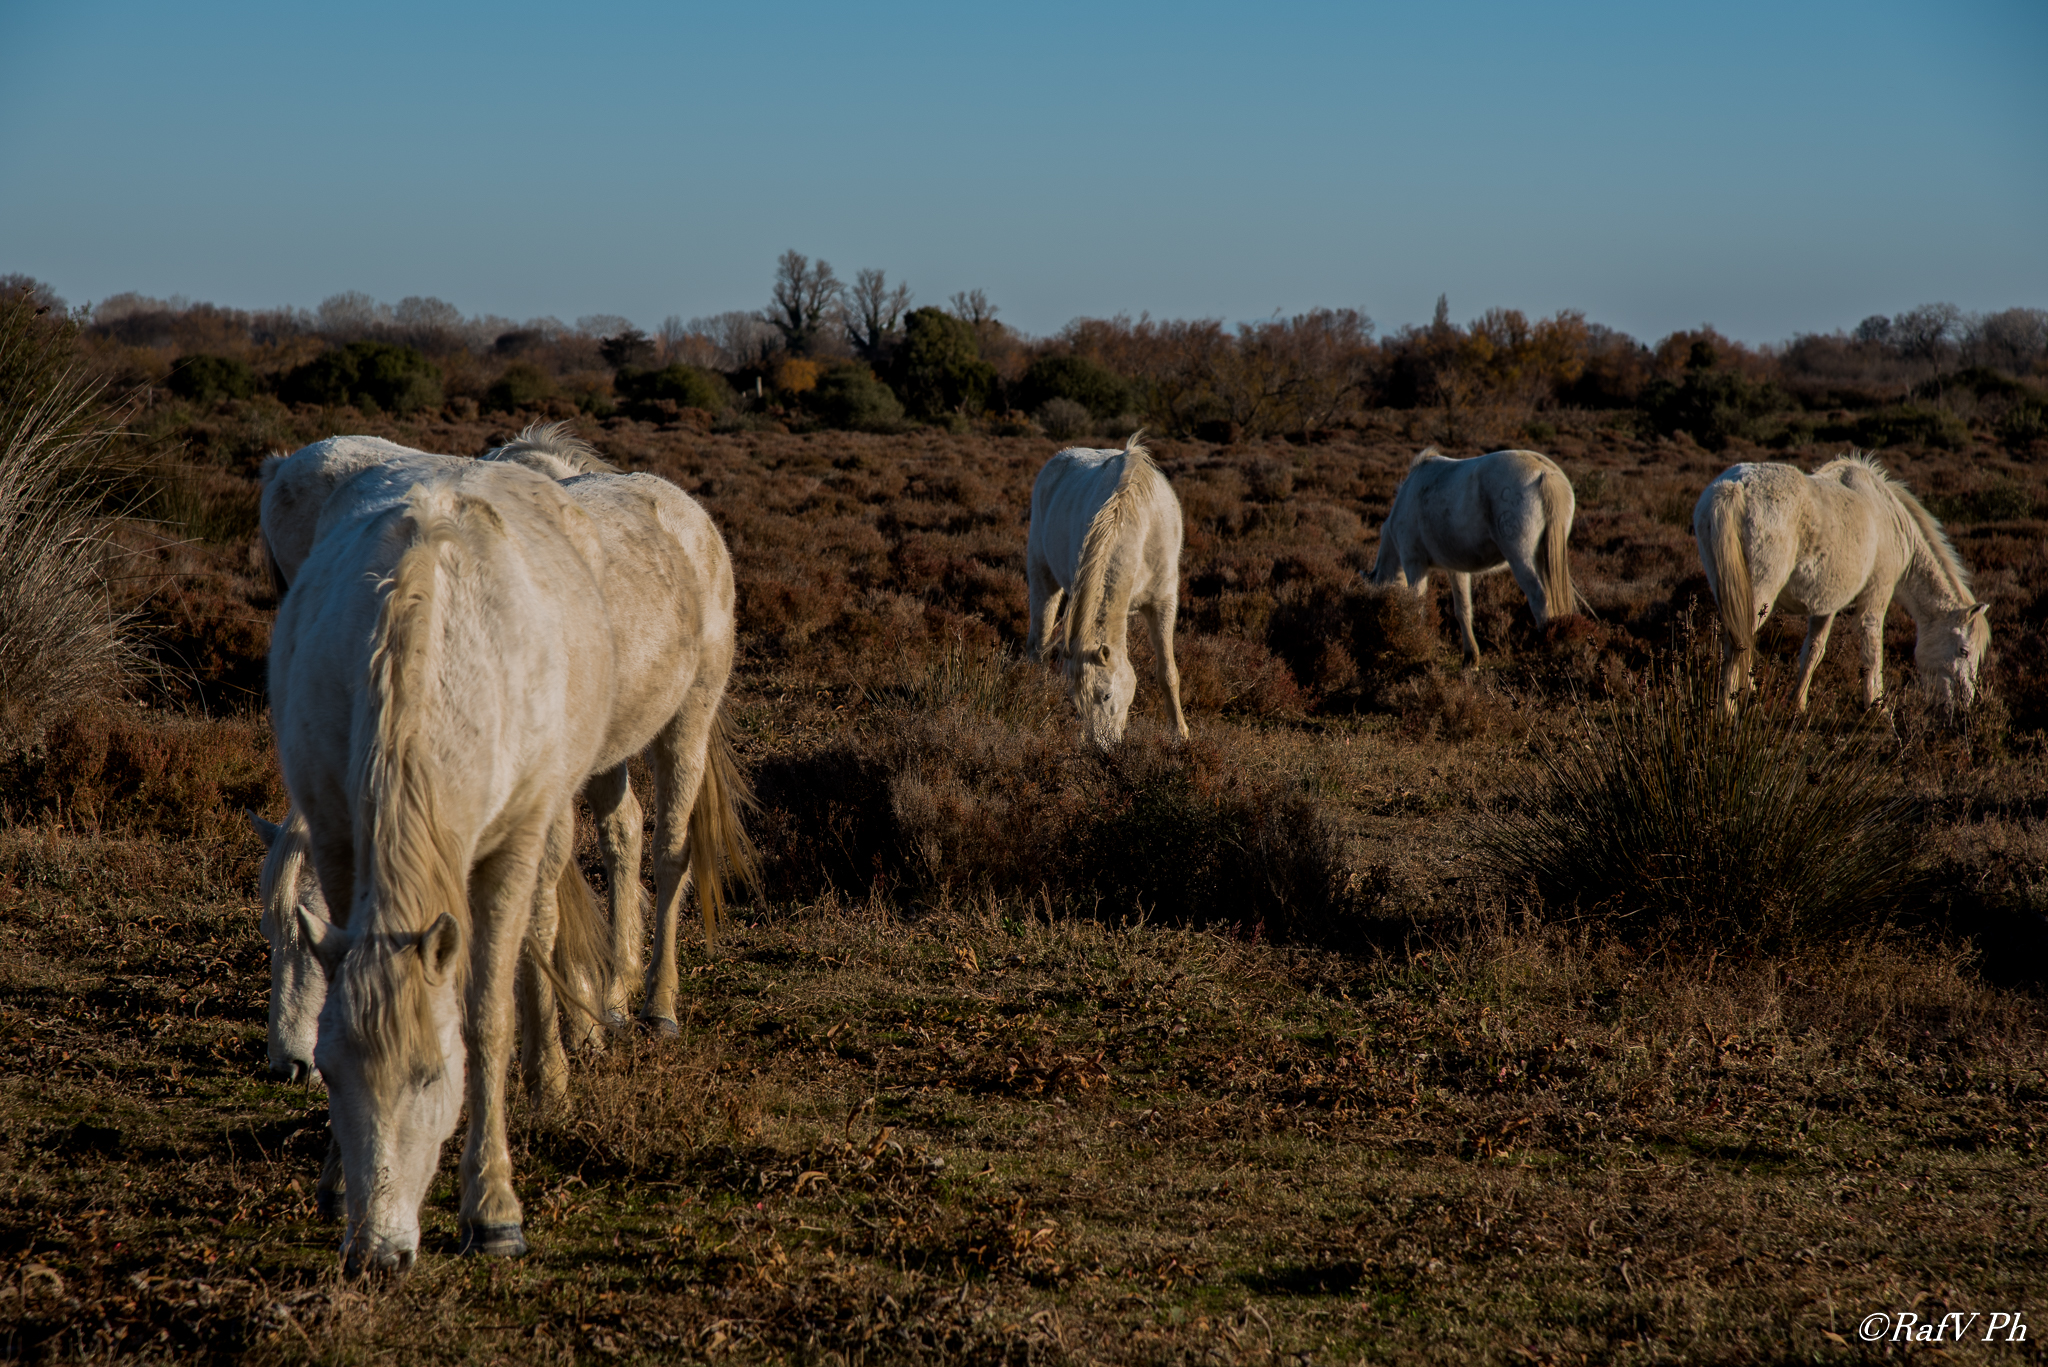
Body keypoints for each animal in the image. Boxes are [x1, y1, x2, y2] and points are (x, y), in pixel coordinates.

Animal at [271, 459, 620, 1273]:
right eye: (332, 1071)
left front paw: (493, 1212)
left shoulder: (514, 845)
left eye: (434, 1073)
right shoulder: (338, 837)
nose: (378, 1254)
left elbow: (488, 1015)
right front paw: (337, 1184)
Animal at [1026, 433, 1189, 749]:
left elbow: (1168, 673)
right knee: (1038, 647)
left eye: (1107, 695)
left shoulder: (1163, 601)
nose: (1100, 748)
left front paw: (1181, 734)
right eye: (1077, 702)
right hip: (1042, 577)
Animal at [1369, 447, 1578, 663]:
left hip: (1522, 559)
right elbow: (1463, 610)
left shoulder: (1414, 564)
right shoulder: (1456, 569)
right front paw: (1471, 657)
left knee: (1539, 598)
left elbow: (1416, 607)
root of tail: (1543, 471)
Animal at [1693, 453, 1990, 715]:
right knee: (1737, 643)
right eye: (1964, 651)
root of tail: (1735, 487)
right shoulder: (1876, 595)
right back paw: (1729, 711)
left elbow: (1813, 651)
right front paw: (1877, 707)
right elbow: (1872, 650)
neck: (1888, 520)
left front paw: (1798, 704)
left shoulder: (1825, 604)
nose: (1964, 706)